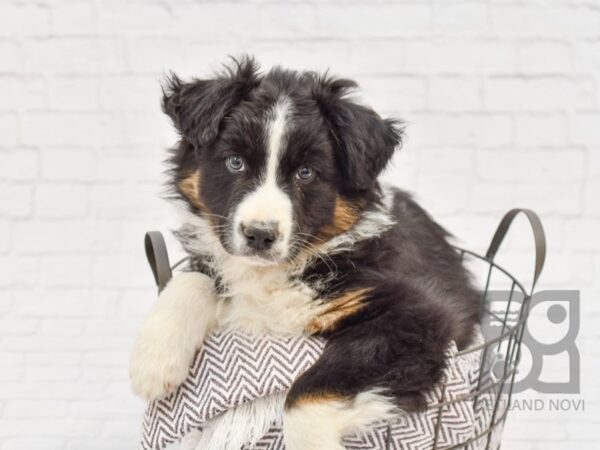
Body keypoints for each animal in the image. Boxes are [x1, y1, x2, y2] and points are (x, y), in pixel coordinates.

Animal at [129, 58, 480, 448]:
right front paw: (154, 361)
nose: (259, 235)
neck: (276, 271)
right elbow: (194, 278)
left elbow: (307, 392)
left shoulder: (419, 316)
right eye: (235, 162)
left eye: (306, 173)